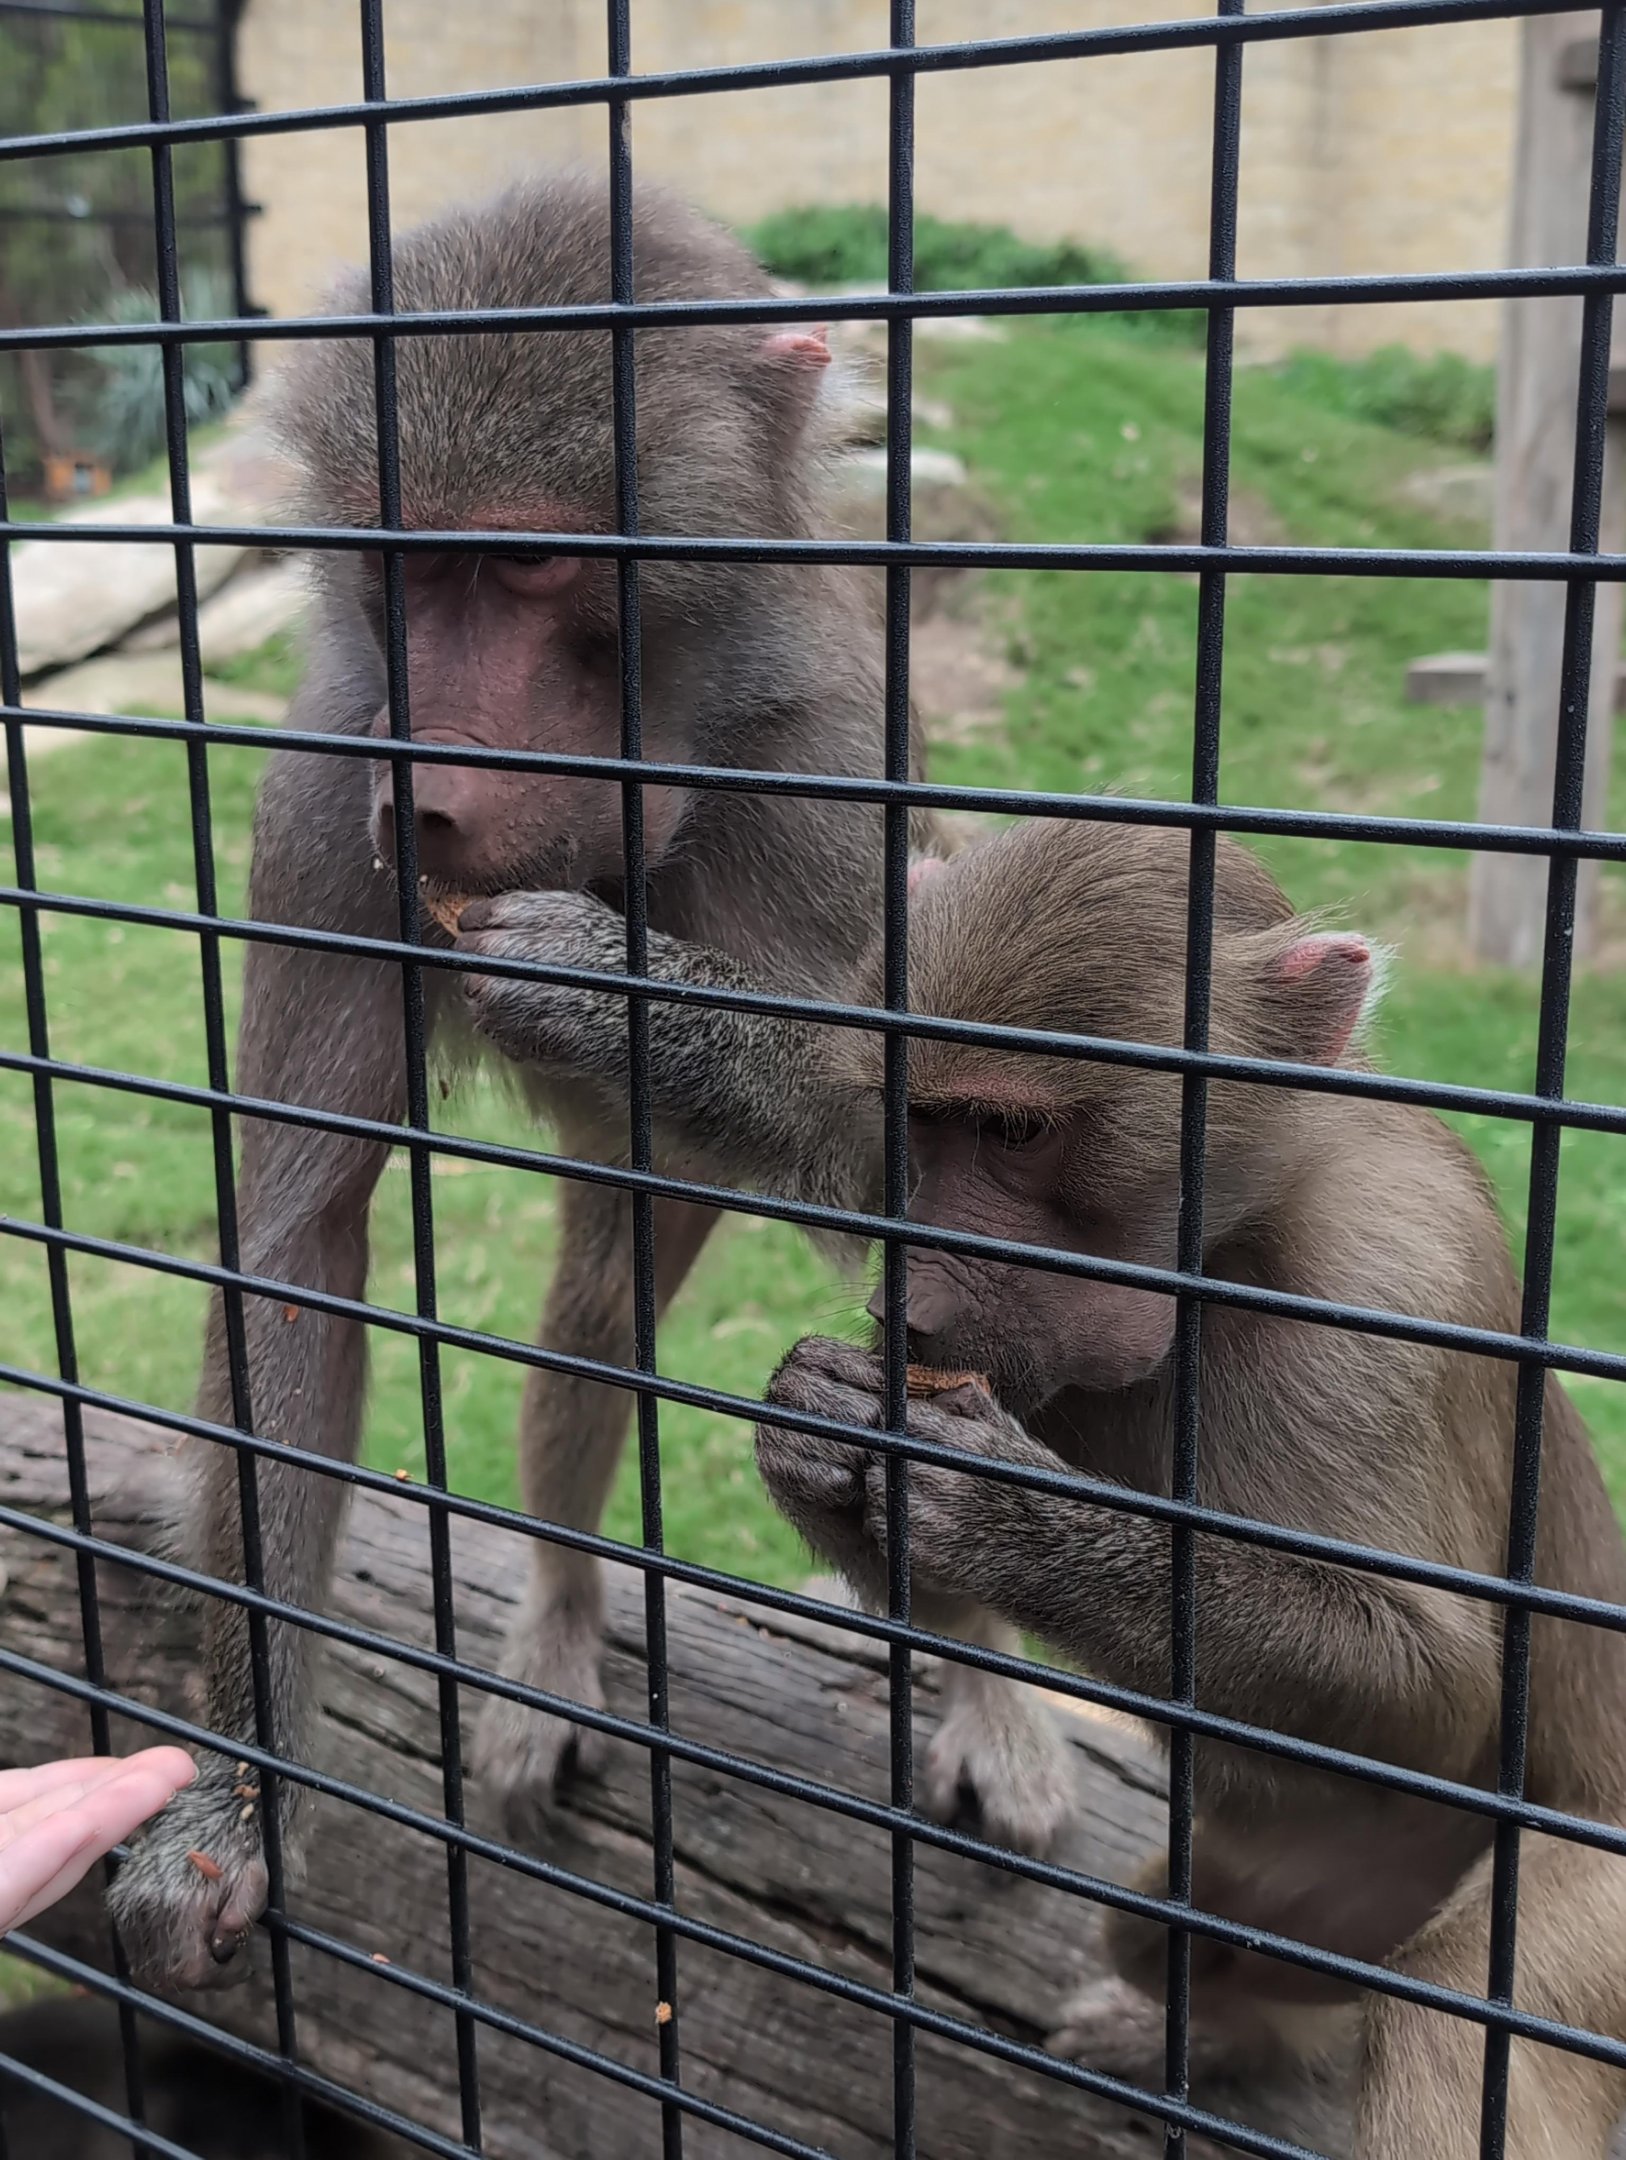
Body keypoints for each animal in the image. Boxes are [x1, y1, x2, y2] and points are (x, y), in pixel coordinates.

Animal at [108, 168, 1078, 1993]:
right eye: (407, 571)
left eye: (532, 557)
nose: (431, 791)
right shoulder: (326, 794)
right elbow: (300, 1245)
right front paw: (234, 1803)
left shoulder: (822, 780)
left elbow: (931, 1171)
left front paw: (623, 1002)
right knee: (589, 1338)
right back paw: (560, 1619)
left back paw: (978, 1666)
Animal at [456, 816, 1626, 2154]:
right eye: (927, 1126)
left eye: (1016, 1136)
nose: (914, 1301)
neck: (1228, 1254)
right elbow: (830, 1125)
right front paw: (628, 1004)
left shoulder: (1377, 1298)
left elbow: (1440, 1700)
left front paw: (995, 1509)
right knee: (1162, 1933)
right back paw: (1216, 2035)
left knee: (1449, 2014)